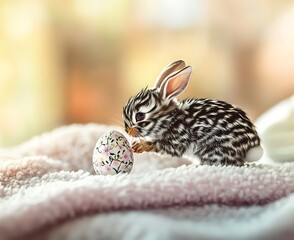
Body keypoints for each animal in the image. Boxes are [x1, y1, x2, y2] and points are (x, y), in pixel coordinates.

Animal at [122, 60, 264, 166]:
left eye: (140, 116)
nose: (127, 130)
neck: (171, 119)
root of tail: (253, 149)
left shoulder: (179, 138)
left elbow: (164, 146)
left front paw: (141, 146)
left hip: (213, 149)